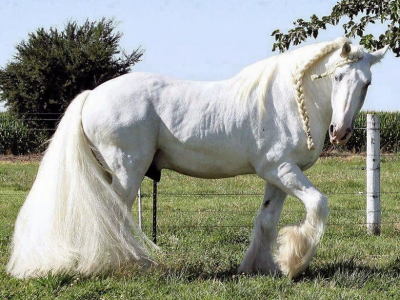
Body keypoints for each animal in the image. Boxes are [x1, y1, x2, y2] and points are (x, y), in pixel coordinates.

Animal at [7, 37, 388, 278]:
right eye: (337, 76)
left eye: (366, 83)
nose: (341, 131)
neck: (287, 101)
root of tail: (91, 96)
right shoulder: (281, 169)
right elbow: (318, 204)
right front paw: (295, 264)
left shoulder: (277, 176)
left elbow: (266, 221)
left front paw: (260, 268)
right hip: (127, 171)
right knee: (113, 216)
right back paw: (126, 264)